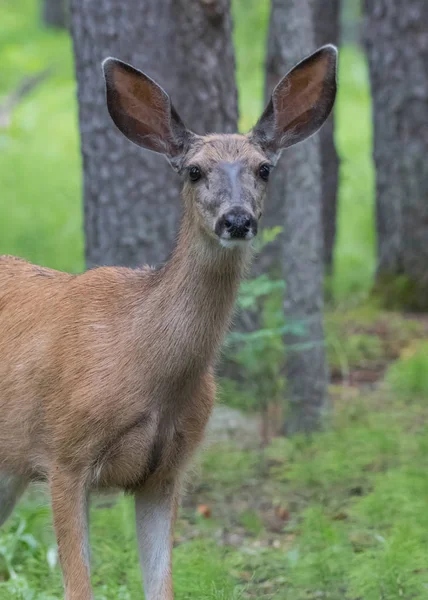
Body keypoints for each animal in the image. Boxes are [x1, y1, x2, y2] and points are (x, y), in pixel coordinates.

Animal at [0, 44, 338, 596]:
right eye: (194, 170)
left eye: (264, 168)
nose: (237, 219)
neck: (143, 363)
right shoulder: (64, 455)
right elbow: (79, 586)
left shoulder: (166, 471)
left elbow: (161, 585)